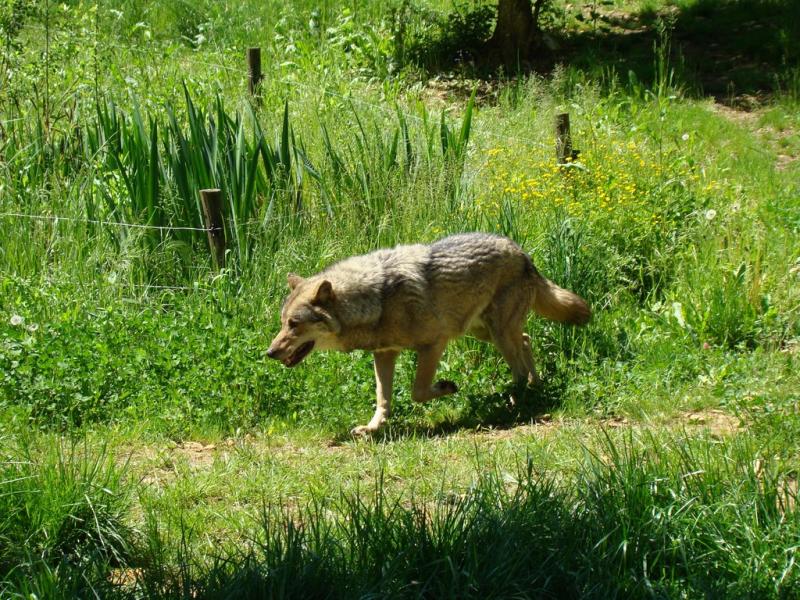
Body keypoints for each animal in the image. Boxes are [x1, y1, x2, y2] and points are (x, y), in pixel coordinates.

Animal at [267, 233, 591, 435]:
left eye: (294, 324)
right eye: (283, 322)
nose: (269, 353)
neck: (376, 300)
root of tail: (523, 252)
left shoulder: (434, 344)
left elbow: (418, 392)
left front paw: (448, 386)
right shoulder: (384, 354)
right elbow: (383, 398)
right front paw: (372, 428)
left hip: (496, 333)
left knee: (519, 365)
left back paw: (514, 399)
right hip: (485, 332)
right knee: (526, 341)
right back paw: (534, 386)